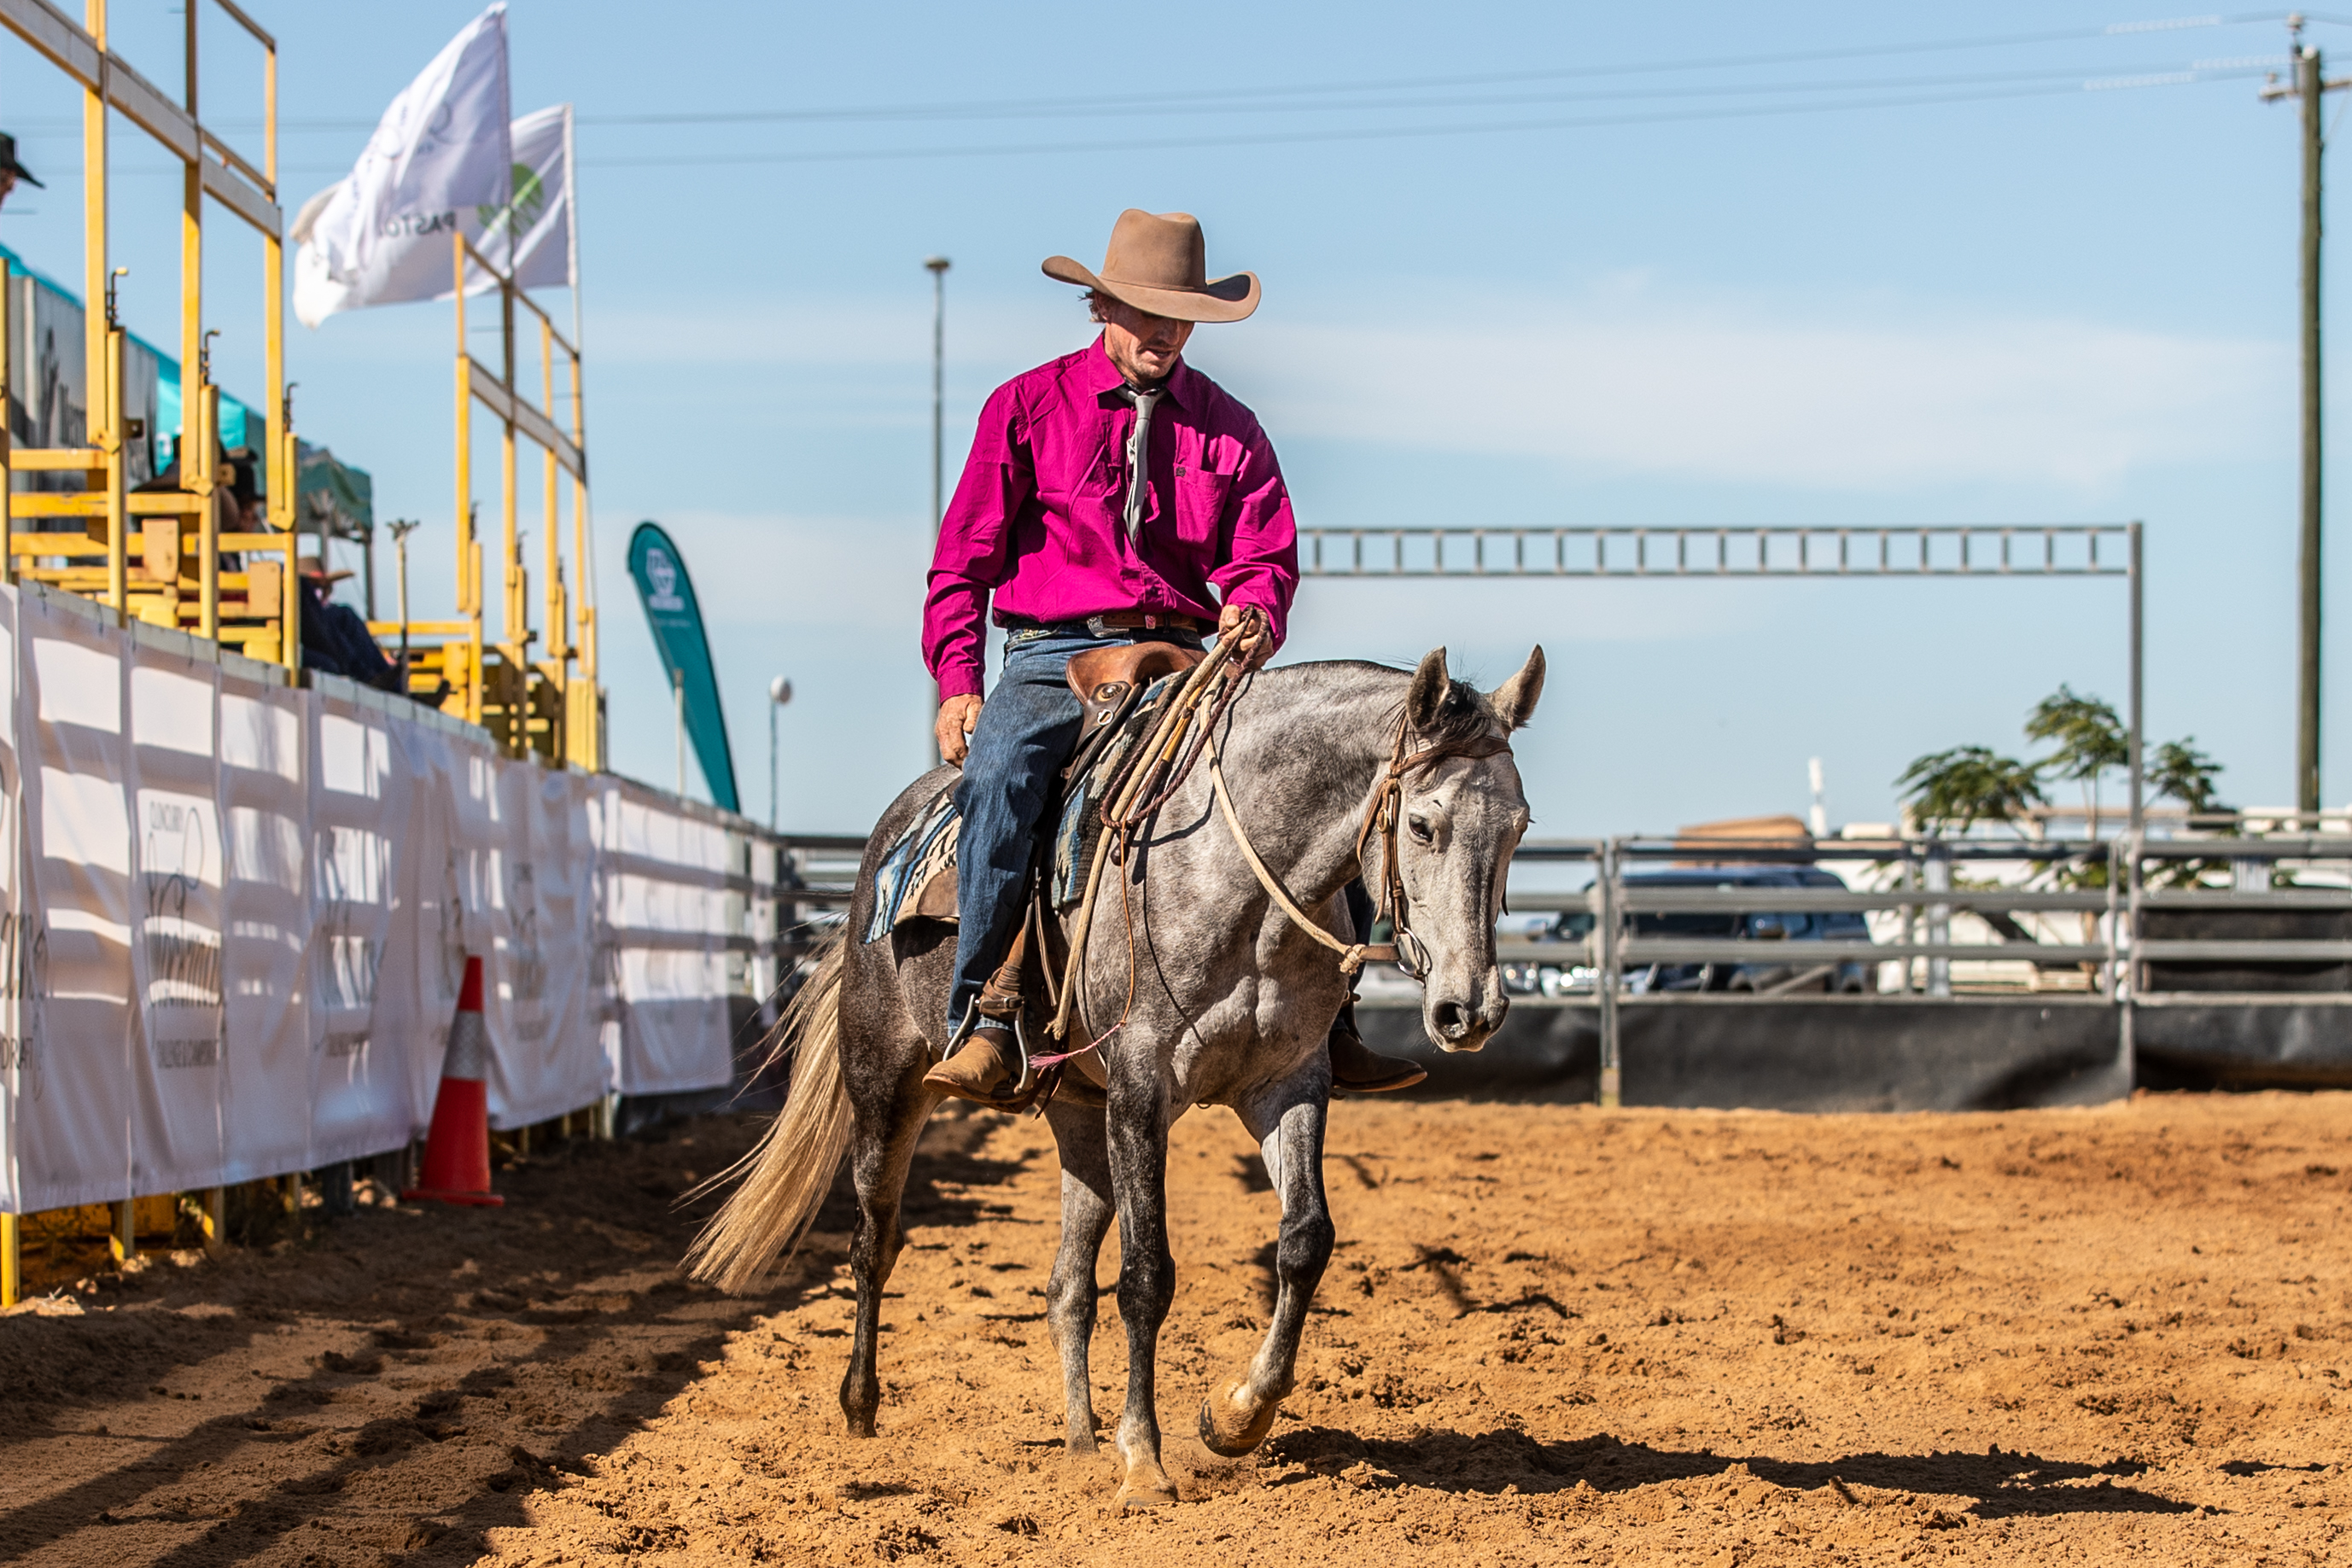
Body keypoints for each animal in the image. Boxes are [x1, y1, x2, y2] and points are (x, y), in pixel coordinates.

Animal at [688, 643, 1544, 1510]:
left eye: (1518, 826)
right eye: (1422, 824)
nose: (1471, 1010)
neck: (1235, 878)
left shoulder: (1288, 1083)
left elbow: (1305, 1240)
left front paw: (1236, 1415)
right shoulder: (1141, 1085)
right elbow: (1146, 1276)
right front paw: (1144, 1460)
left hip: (1079, 1118)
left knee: (1065, 1285)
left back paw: (1079, 1441)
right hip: (886, 1082)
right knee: (874, 1240)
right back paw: (862, 1406)